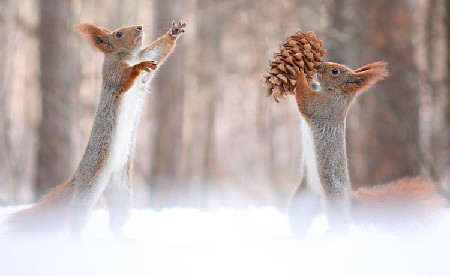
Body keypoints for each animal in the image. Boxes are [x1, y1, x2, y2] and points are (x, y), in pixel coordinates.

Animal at [4, 21, 186, 239]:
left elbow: (158, 52)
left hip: (122, 192)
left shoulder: (147, 58)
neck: (129, 56)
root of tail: (78, 177)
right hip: (89, 186)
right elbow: (124, 78)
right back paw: (76, 241)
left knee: (116, 220)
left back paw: (122, 238)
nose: (140, 27)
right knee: (77, 217)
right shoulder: (112, 73)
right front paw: (138, 67)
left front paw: (174, 32)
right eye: (119, 34)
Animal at [288, 61, 446, 236]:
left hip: (334, 198)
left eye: (335, 71)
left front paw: (299, 74)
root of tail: (349, 199)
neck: (336, 92)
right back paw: (296, 237)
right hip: (302, 201)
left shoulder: (325, 107)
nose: (319, 65)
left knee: (341, 224)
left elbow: (306, 101)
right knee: (298, 219)